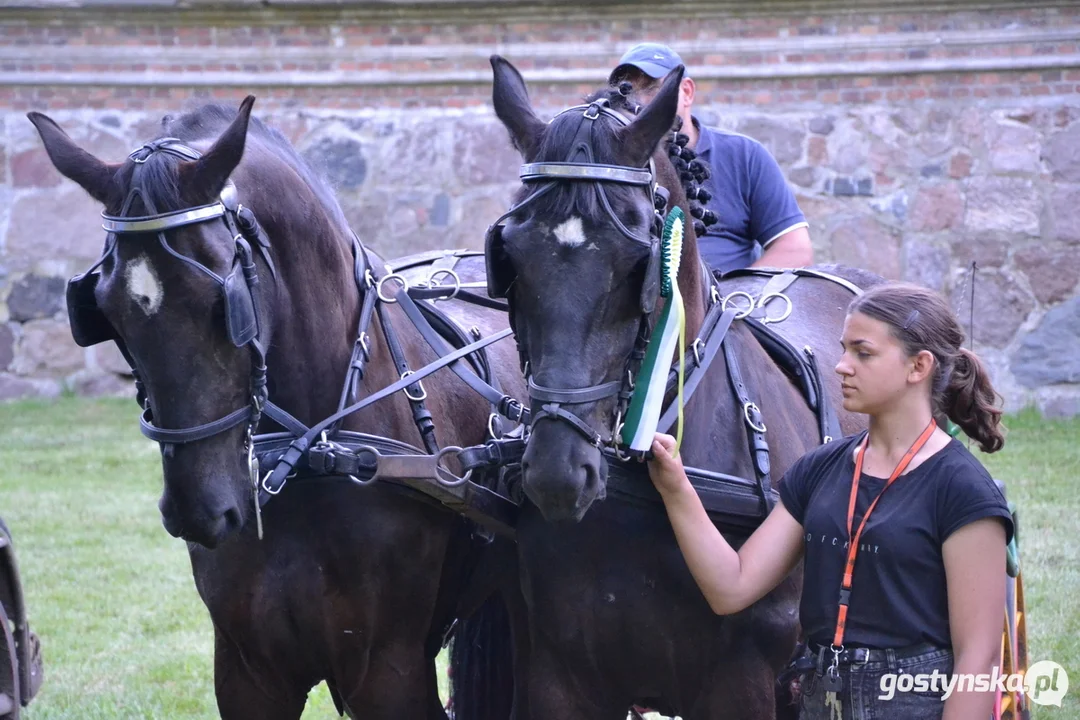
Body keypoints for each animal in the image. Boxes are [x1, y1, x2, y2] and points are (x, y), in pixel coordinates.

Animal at [27, 97, 524, 720]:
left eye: (224, 303)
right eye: (105, 311)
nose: (200, 509)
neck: (316, 452)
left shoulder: (391, 673)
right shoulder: (248, 675)